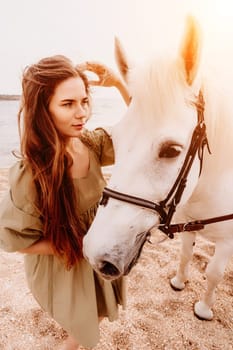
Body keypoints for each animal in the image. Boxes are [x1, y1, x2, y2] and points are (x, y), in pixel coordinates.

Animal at [83, 17, 233, 322]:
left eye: (172, 150)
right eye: (115, 140)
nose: (96, 255)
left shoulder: (227, 241)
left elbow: (213, 273)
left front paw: (204, 309)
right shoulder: (187, 222)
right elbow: (186, 254)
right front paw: (179, 282)